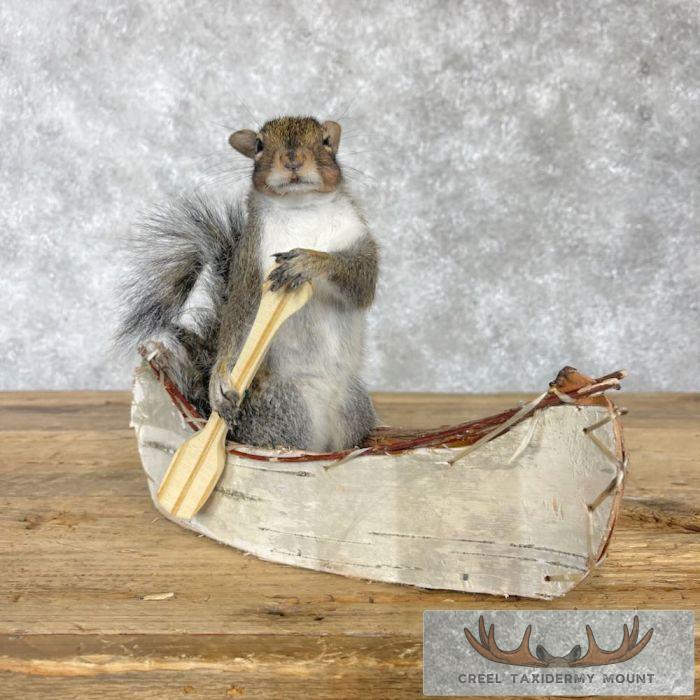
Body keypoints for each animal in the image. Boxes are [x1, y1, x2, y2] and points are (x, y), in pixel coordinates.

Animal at [117, 115, 379, 452]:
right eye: (259, 145)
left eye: (325, 142)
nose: (292, 159)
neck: (302, 208)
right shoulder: (249, 266)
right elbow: (238, 315)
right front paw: (218, 378)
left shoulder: (358, 239)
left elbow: (362, 282)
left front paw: (308, 261)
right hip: (288, 406)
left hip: (351, 404)